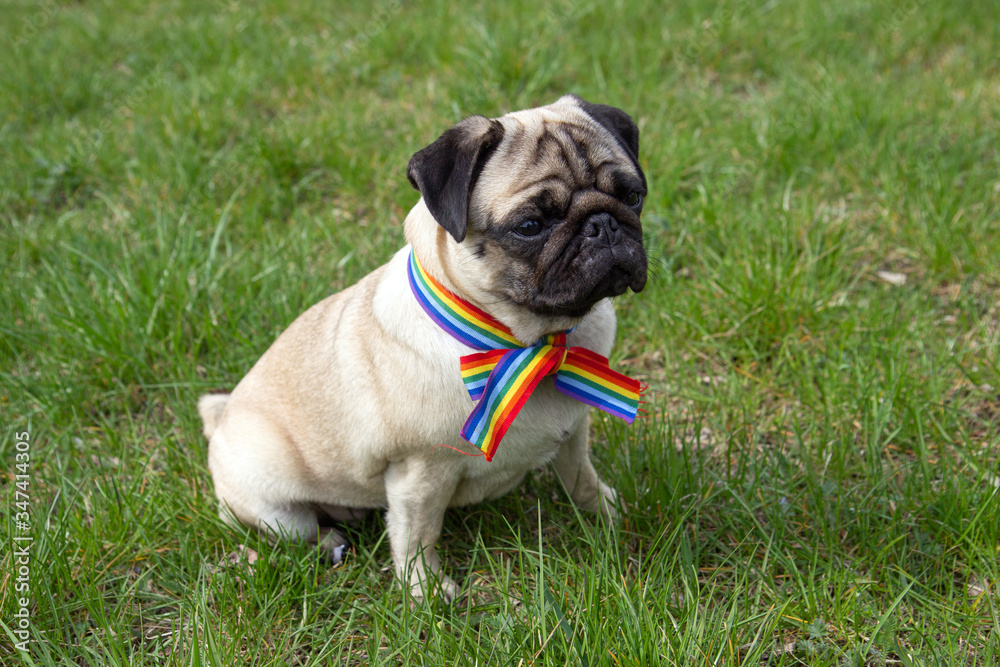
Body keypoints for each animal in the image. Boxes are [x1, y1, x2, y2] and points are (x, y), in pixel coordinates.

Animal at [197, 94, 648, 600]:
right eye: (531, 225)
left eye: (633, 196)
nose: (603, 224)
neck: (532, 342)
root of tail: (222, 417)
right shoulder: (422, 472)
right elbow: (418, 533)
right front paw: (426, 592)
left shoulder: (574, 432)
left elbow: (581, 477)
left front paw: (606, 513)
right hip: (274, 505)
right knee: (298, 529)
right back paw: (332, 539)